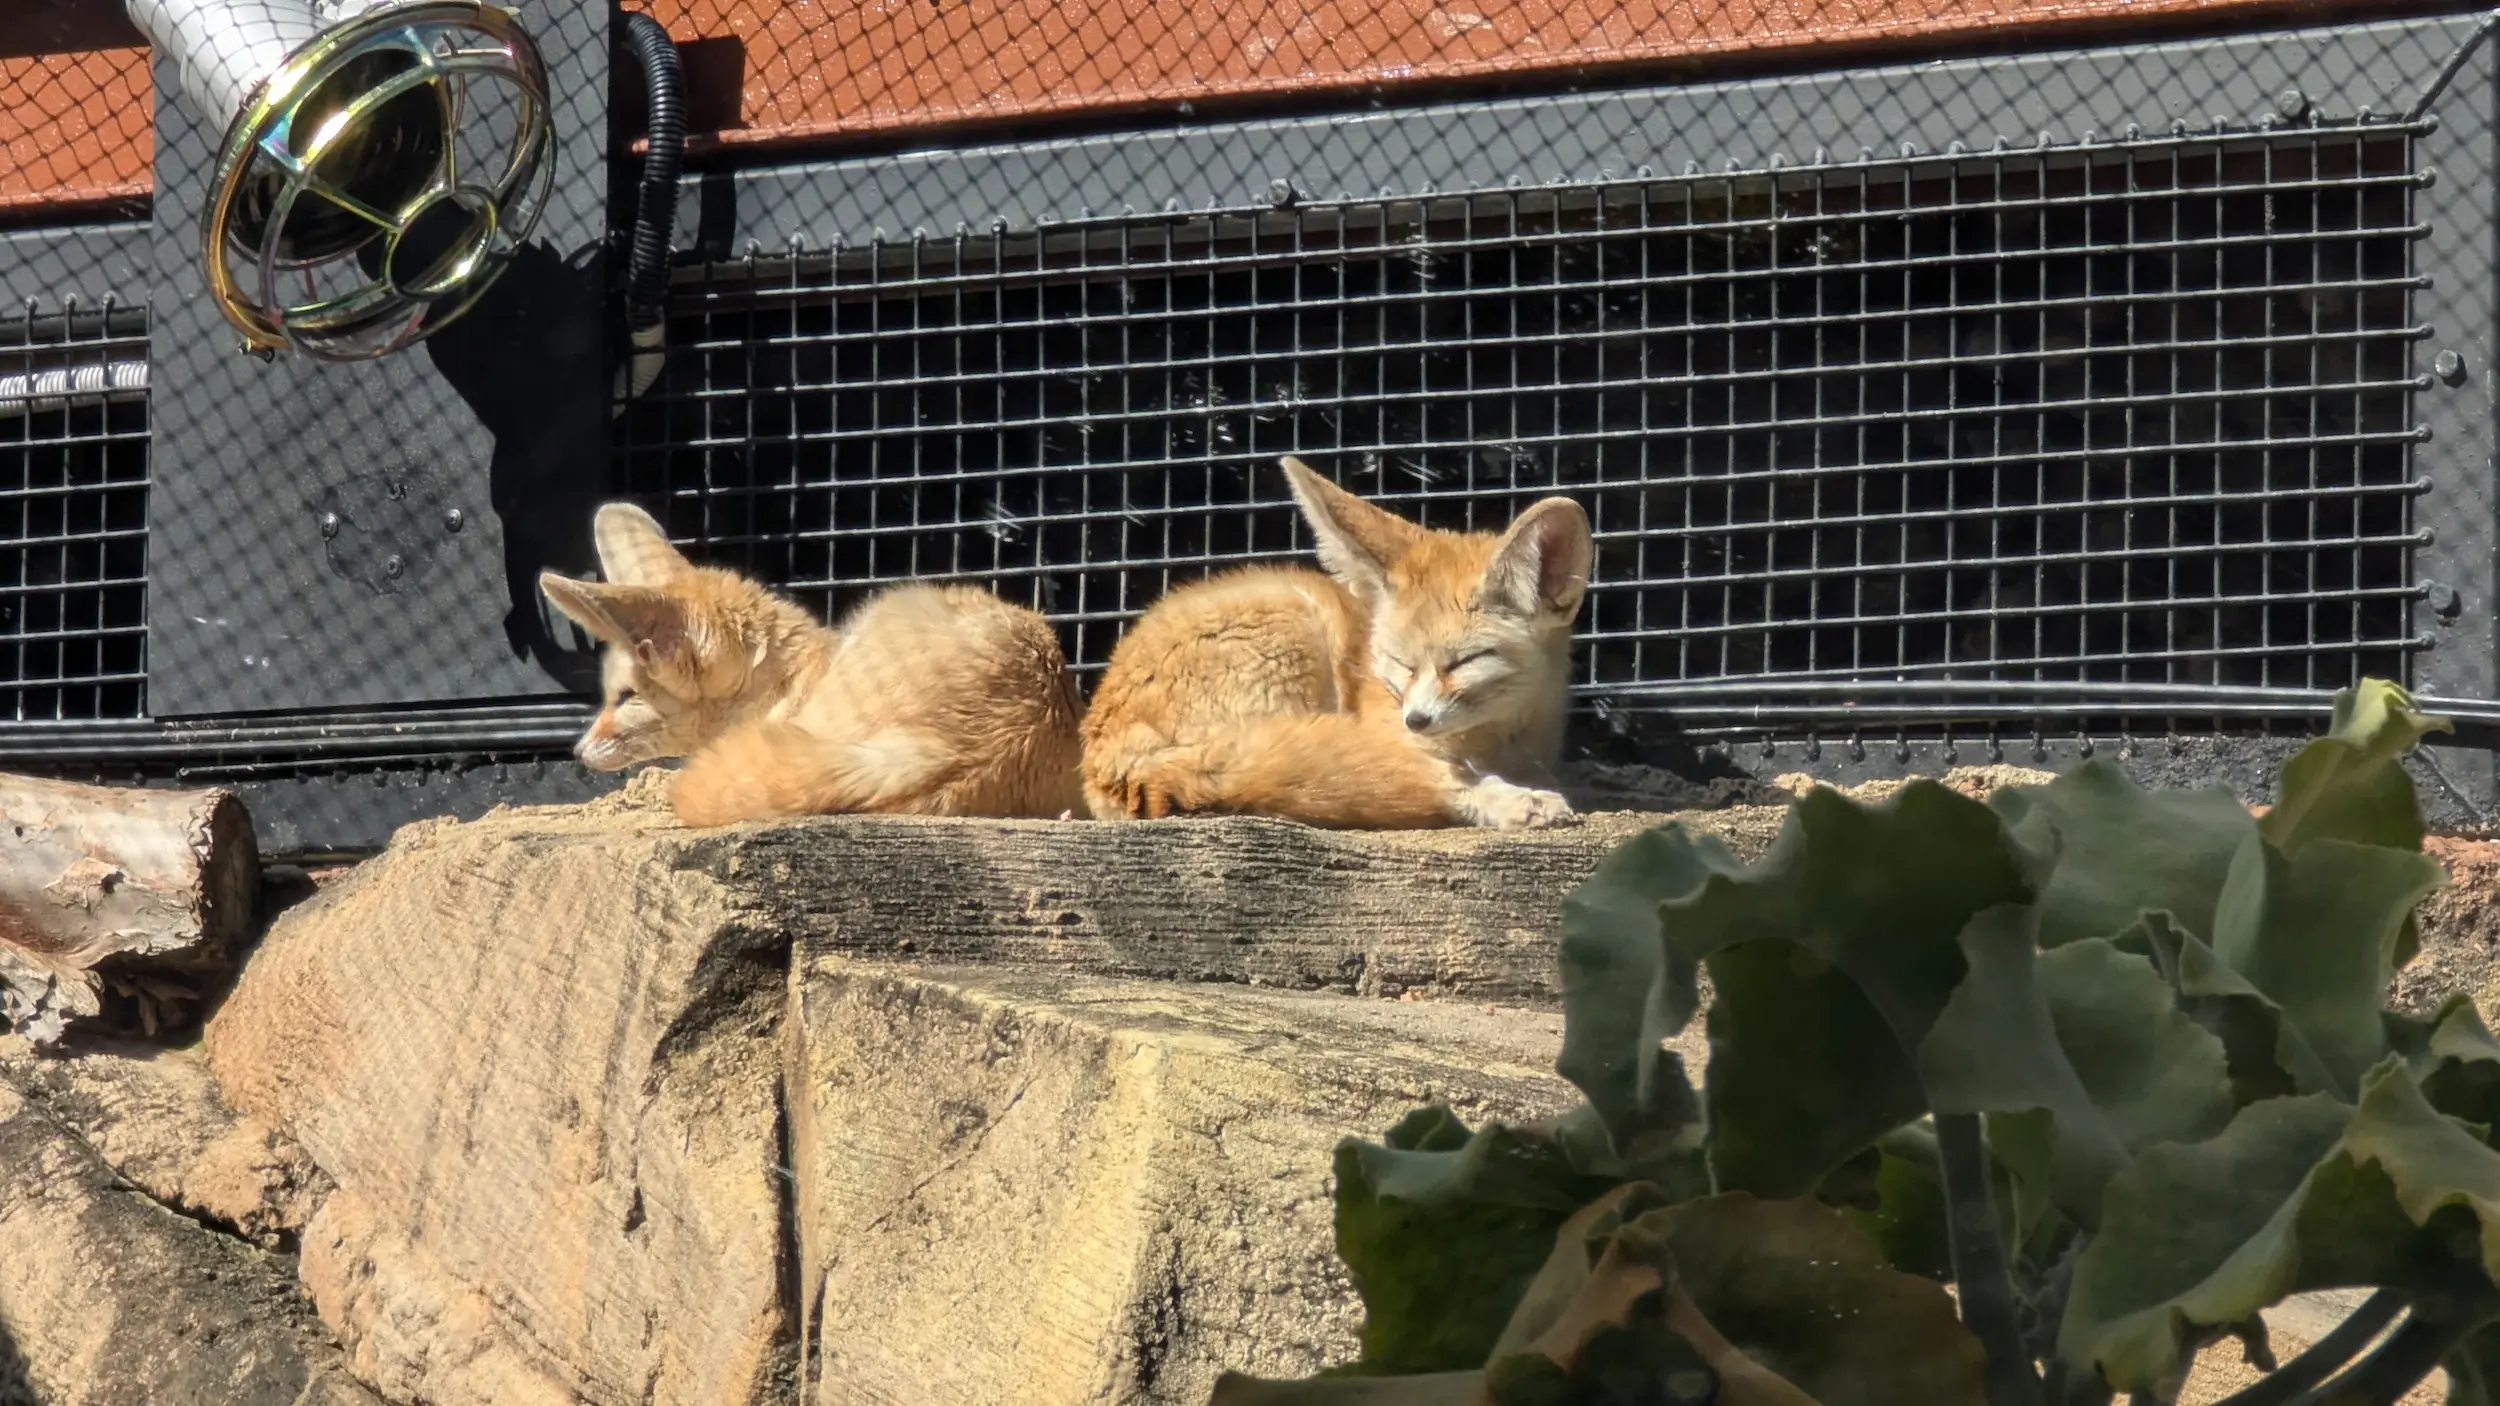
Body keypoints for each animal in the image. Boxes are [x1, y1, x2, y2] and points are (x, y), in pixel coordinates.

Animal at [1078, 455, 1593, 829]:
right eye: (1399, 663)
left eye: (1465, 661)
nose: (1416, 720)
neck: (1499, 740)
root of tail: (1104, 753)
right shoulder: (1399, 737)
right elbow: (1450, 777)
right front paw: (1510, 800)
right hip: (1298, 617)